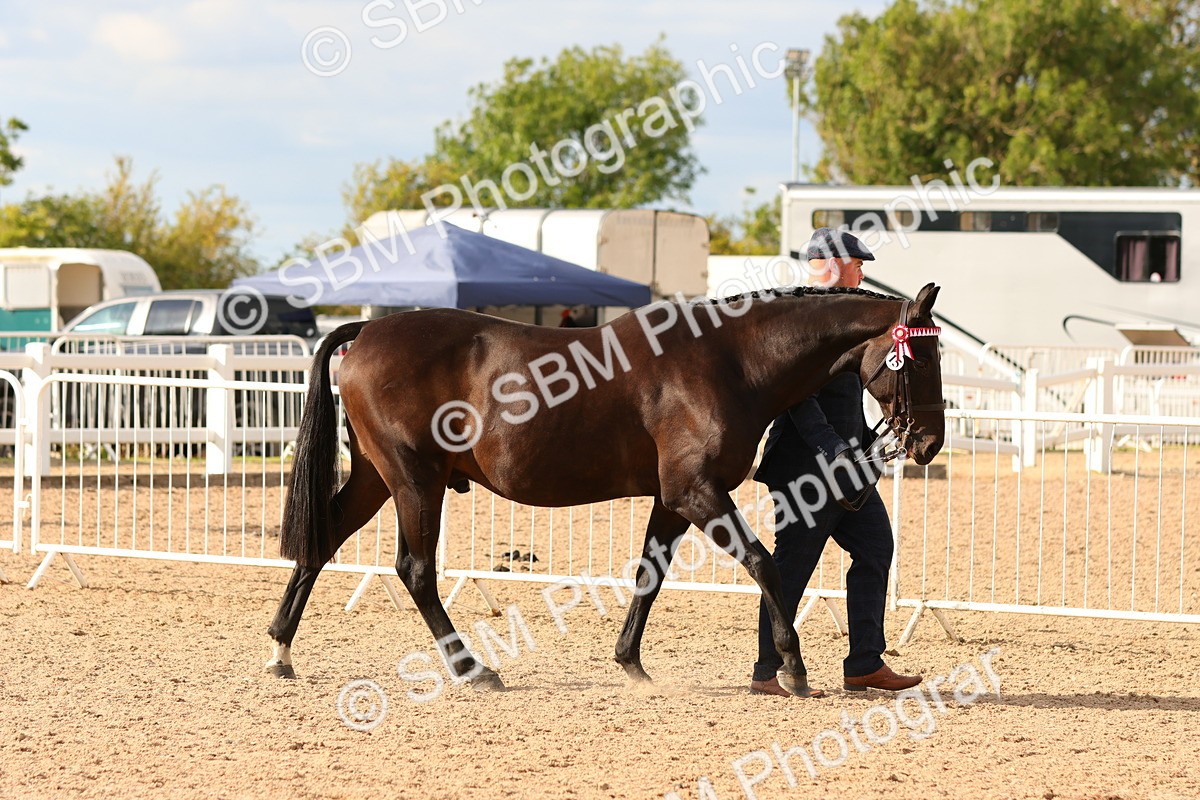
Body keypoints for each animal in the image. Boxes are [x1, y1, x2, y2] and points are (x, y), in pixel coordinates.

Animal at [266, 283, 946, 697]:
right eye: (919, 359)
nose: (930, 443)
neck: (729, 360)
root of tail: (366, 333)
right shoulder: (698, 493)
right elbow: (765, 564)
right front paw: (794, 667)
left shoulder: (673, 500)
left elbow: (650, 574)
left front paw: (630, 662)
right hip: (414, 480)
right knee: (415, 570)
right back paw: (472, 669)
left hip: (376, 479)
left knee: (321, 543)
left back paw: (281, 651)